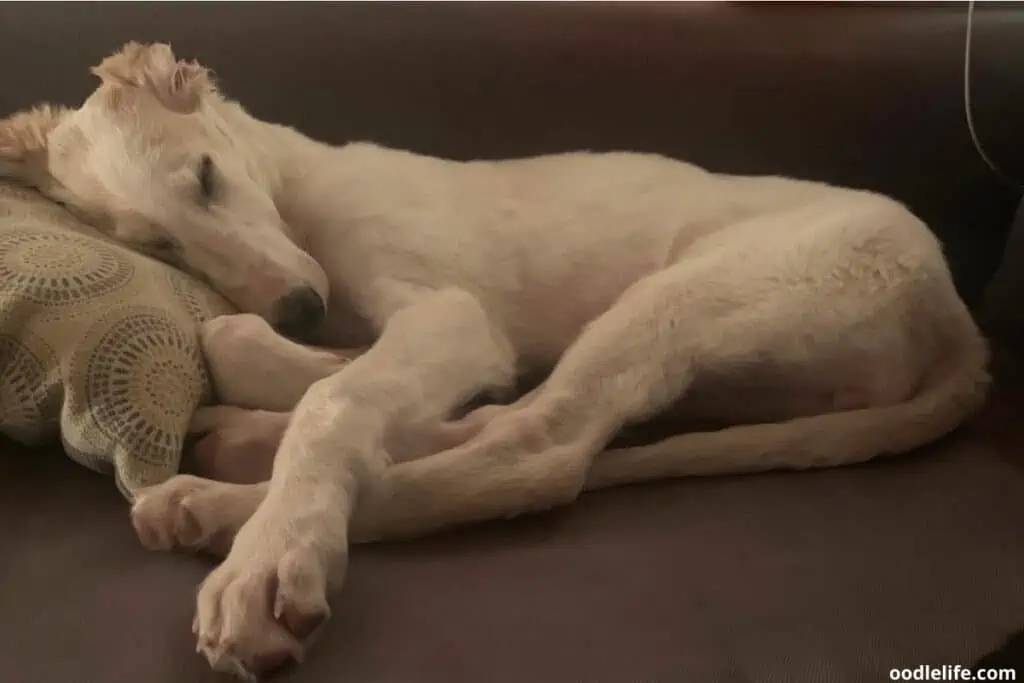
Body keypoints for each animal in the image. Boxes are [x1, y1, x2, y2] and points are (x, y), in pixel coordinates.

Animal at [0, 42, 991, 679]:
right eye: (154, 244)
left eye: (206, 175)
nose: (301, 309)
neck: (295, 185)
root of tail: (960, 322)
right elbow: (282, 354)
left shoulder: (453, 314)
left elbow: (329, 394)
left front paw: (278, 549)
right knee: (503, 426)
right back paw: (233, 460)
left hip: (686, 298)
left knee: (538, 454)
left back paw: (227, 517)